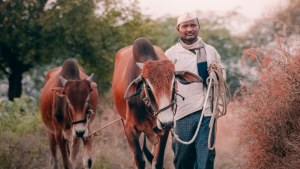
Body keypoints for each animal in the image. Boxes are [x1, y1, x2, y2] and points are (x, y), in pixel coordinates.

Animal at [112, 37, 202, 168]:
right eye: (148, 86)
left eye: (174, 83)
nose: (167, 122)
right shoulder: (129, 129)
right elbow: (140, 160)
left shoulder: (163, 131)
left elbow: (157, 162)